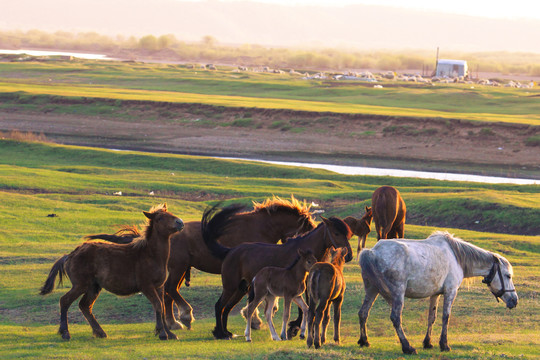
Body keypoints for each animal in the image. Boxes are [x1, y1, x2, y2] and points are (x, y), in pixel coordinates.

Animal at [39, 205, 185, 340]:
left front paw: (170, 333)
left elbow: (162, 308)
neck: (151, 255)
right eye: (160, 218)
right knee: (65, 301)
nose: (180, 222)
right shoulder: (147, 287)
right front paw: (162, 333)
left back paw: (100, 332)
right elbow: (158, 306)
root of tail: (69, 255)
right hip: (80, 285)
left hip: (93, 287)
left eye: (170, 213)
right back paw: (65, 333)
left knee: (85, 305)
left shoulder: (159, 287)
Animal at [204, 214, 354, 340]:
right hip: (230, 287)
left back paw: (227, 332)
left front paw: (301, 330)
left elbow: (306, 307)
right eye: (336, 233)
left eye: (347, 234)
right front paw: (293, 330)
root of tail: (230, 251)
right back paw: (220, 333)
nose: (349, 255)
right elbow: (300, 309)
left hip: (241, 289)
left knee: (227, 308)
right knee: (219, 306)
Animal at [358, 231, 520, 354]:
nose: (515, 300)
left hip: (372, 290)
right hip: (398, 294)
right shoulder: (450, 292)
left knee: (363, 313)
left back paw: (364, 341)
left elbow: (432, 317)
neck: (456, 256)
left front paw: (428, 343)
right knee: (395, 318)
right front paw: (444, 345)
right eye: (508, 276)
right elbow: (445, 317)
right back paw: (407, 347)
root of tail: (372, 252)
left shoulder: (435, 294)